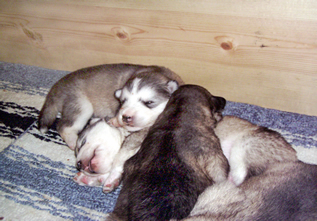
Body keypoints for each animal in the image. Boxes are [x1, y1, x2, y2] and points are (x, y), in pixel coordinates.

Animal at [38, 64, 184, 150]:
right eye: (123, 101)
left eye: (149, 102)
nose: (126, 117)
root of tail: (57, 86)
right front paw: (115, 120)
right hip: (81, 105)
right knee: (64, 127)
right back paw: (74, 143)